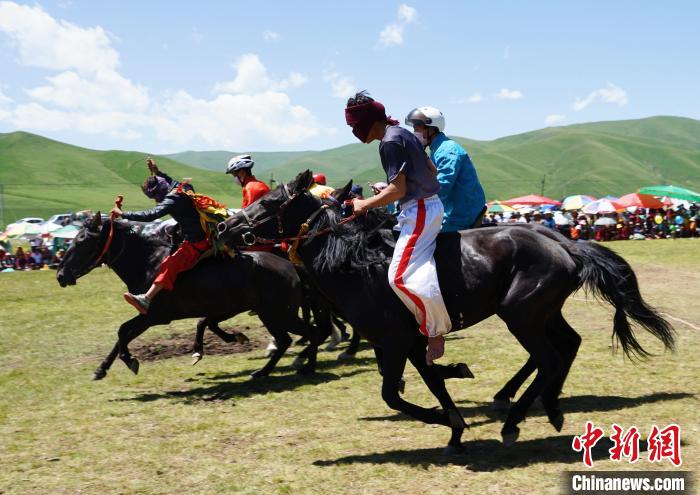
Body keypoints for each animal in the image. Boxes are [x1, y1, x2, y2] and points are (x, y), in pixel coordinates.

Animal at [57, 213, 320, 380]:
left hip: (279, 314)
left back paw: (304, 366)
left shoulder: (154, 316)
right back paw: (268, 370)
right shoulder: (150, 316)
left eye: (82, 241)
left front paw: (130, 360)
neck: (148, 263)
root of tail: (290, 266)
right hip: (271, 314)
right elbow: (121, 335)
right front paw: (100, 370)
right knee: (288, 339)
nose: (61, 275)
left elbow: (123, 332)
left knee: (309, 333)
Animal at [217, 170, 672, 454]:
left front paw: (445, 417)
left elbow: (394, 394)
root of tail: (564, 243)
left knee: (547, 358)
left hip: (522, 316)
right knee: (567, 347)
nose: (225, 227)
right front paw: (454, 421)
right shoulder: (408, 342)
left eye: (267, 201)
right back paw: (550, 406)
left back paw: (513, 420)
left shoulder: (395, 341)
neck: (356, 262)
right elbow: (431, 380)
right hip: (543, 313)